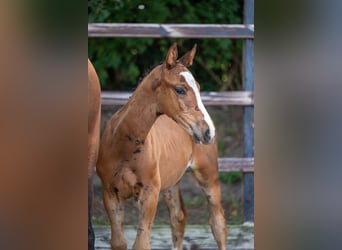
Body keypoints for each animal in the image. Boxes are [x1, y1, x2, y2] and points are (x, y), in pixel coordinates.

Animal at [97, 43, 227, 250]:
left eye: (199, 88)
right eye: (180, 89)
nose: (208, 131)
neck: (124, 147)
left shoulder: (150, 192)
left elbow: (141, 243)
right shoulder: (109, 193)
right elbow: (118, 242)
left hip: (208, 175)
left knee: (217, 222)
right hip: (171, 181)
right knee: (178, 217)